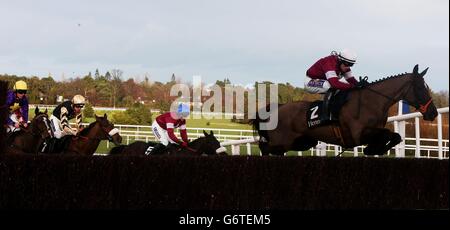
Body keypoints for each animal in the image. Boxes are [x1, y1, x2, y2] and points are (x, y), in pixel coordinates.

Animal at [250, 63, 436, 155]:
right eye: (421, 88)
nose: (433, 112)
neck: (372, 101)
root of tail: (276, 108)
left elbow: (395, 136)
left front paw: (375, 149)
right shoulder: (358, 134)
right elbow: (387, 135)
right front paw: (372, 149)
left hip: (303, 142)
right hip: (281, 141)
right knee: (264, 147)